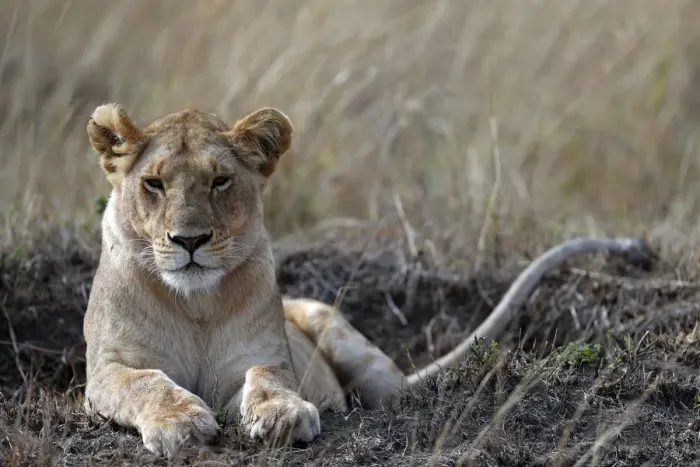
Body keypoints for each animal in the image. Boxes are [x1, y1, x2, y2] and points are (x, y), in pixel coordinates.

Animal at [83, 103, 652, 459]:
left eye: (220, 181)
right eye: (154, 183)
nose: (190, 240)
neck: (195, 304)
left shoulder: (260, 356)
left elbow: (268, 379)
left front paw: (284, 415)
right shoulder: (103, 374)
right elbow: (145, 381)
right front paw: (181, 423)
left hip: (341, 336)